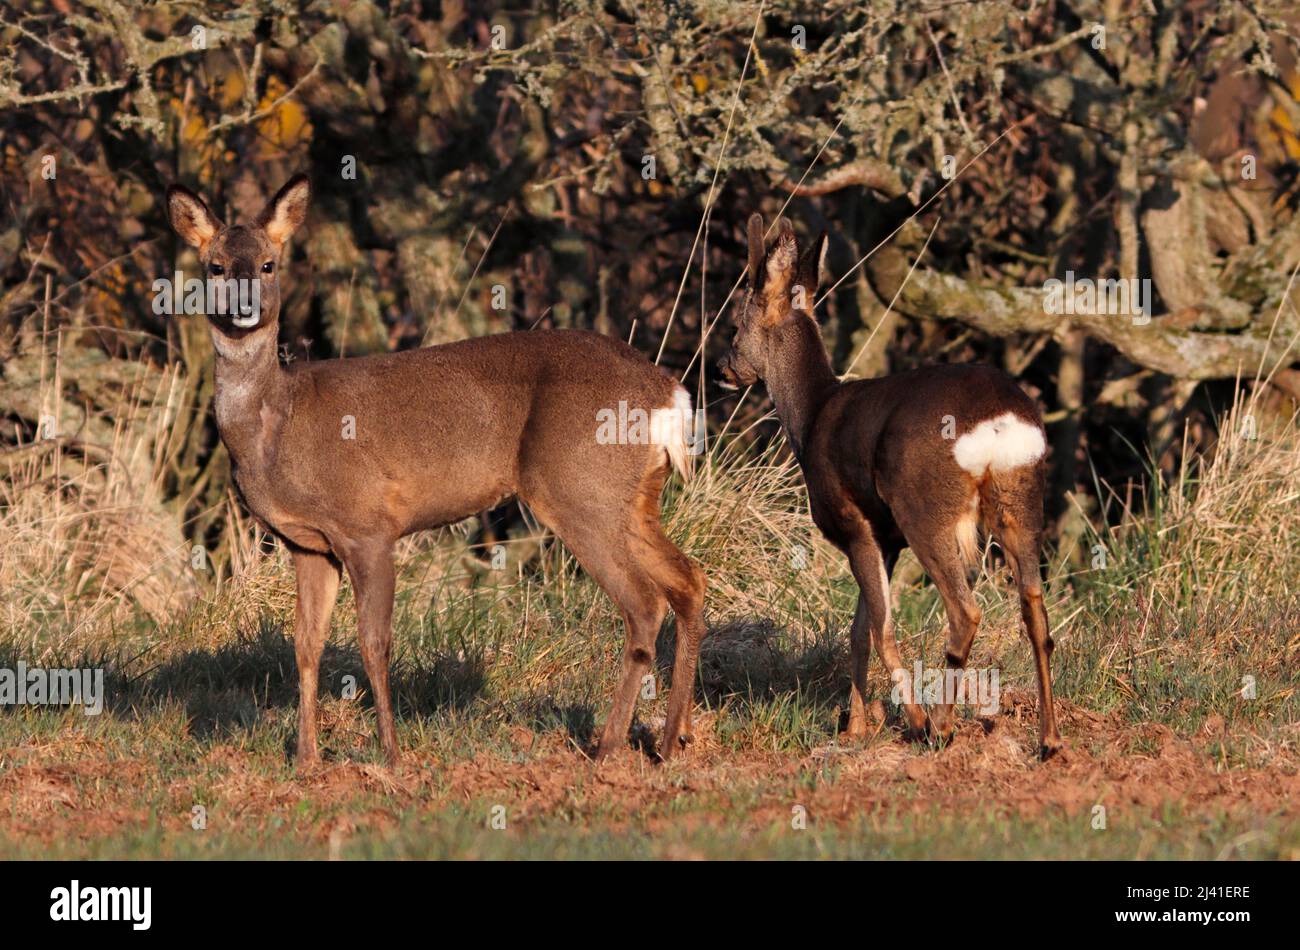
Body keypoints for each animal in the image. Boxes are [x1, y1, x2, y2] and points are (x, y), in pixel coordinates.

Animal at [165, 174, 706, 768]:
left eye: (268, 264)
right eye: (215, 266)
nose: (244, 306)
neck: (277, 425)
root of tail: (669, 393)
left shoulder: (368, 525)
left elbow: (373, 643)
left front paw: (390, 753)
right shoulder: (308, 543)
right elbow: (305, 645)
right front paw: (307, 758)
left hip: (580, 489)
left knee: (645, 602)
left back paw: (608, 746)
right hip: (631, 497)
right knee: (688, 580)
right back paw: (671, 740)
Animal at [717, 215, 1062, 758]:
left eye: (736, 322)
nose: (723, 368)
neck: (811, 416)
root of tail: (999, 423)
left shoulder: (853, 521)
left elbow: (879, 629)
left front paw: (910, 721)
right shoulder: (886, 538)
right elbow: (859, 629)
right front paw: (856, 726)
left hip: (924, 506)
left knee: (965, 612)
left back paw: (941, 727)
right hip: (1022, 500)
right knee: (1036, 614)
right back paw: (1049, 740)